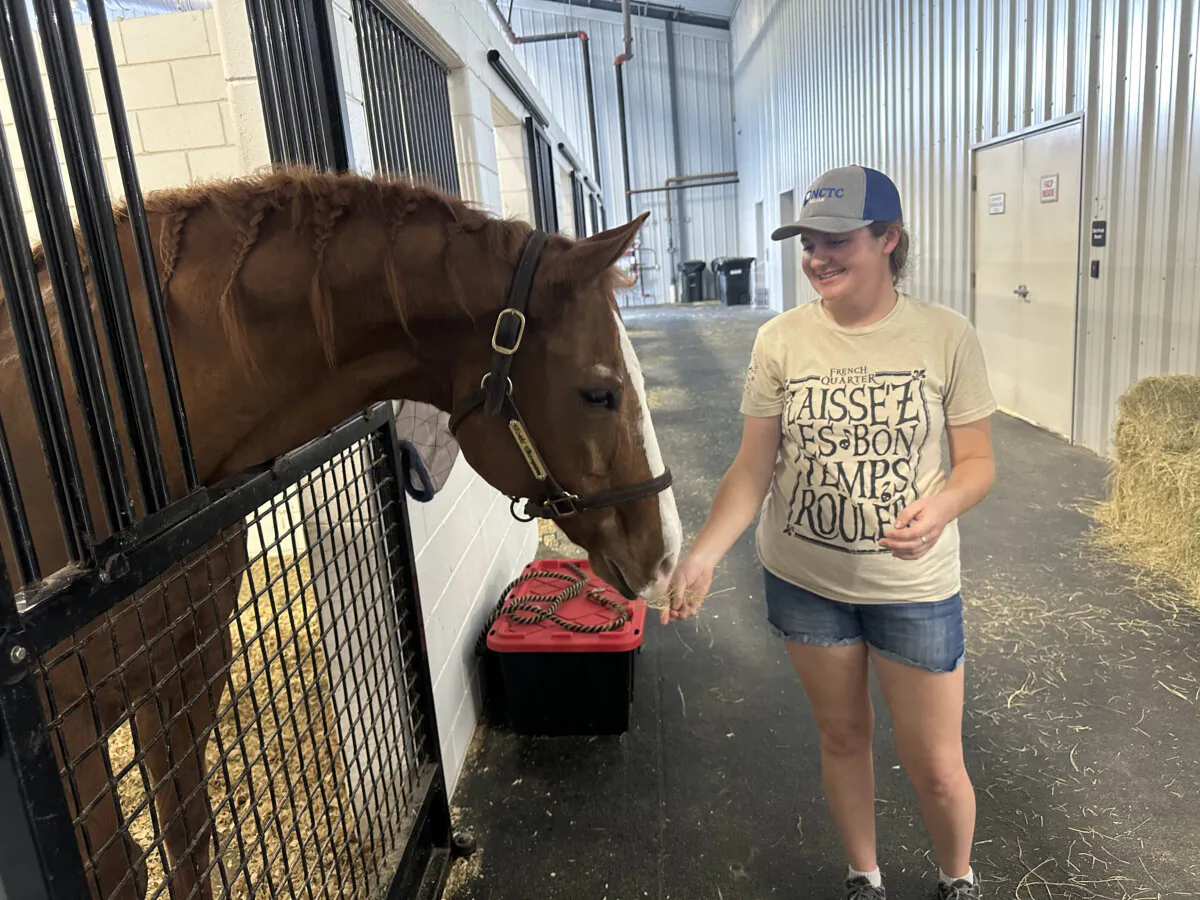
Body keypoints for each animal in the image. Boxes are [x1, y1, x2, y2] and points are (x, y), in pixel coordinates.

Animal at [0, 167, 681, 899]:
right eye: (598, 393)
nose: (666, 554)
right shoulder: (66, 725)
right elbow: (124, 863)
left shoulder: (184, 665)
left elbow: (188, 838)